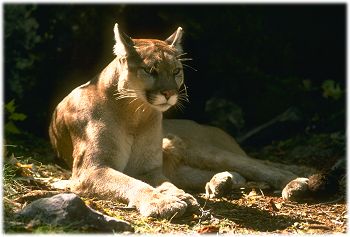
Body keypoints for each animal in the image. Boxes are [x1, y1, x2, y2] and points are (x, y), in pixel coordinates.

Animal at [49, 23, 314, 219]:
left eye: (176, 71)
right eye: (151, 70)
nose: (168, 93)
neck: (135, 113)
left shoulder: (147, 168)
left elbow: (156, 183)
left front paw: (177, 197)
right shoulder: (92, 169)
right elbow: (132, 183)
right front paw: (166, 201)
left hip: (195, 147)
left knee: (259, 165)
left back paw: (295, 184)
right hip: (184, 164)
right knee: (236, 174)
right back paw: (221, 183)